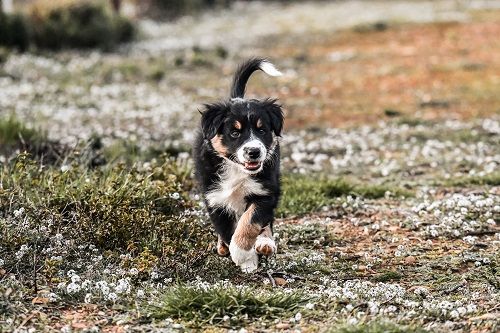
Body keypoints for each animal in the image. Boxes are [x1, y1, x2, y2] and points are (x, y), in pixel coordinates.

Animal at [193, 57, 284, 272]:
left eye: (262, 130)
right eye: (235, 132)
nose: (254, 151)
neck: (236, 170)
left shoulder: (265, 192)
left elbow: (250, 221)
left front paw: (243, 253)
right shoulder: (215, 198)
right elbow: (227, 230)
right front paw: (245, 258)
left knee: (266, 221)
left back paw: (265, 242)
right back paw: (223, 247)